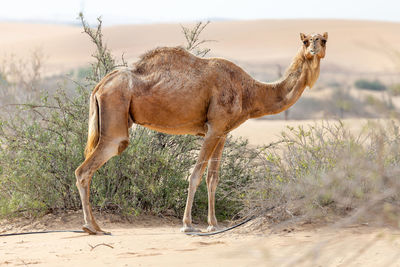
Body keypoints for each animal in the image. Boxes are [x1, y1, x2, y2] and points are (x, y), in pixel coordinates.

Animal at [75, 32, 328, 236]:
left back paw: (93, 226)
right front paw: (187, 225)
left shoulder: (223, 132)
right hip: (115, 123)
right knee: (84, 169)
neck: (249, 91)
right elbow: (196, 175)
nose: (314, 50)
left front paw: (212, 225)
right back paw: (92, 227)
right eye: (306, 41)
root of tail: (100, 86)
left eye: (323, 40)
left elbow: (212, 178)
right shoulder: (213, 128)